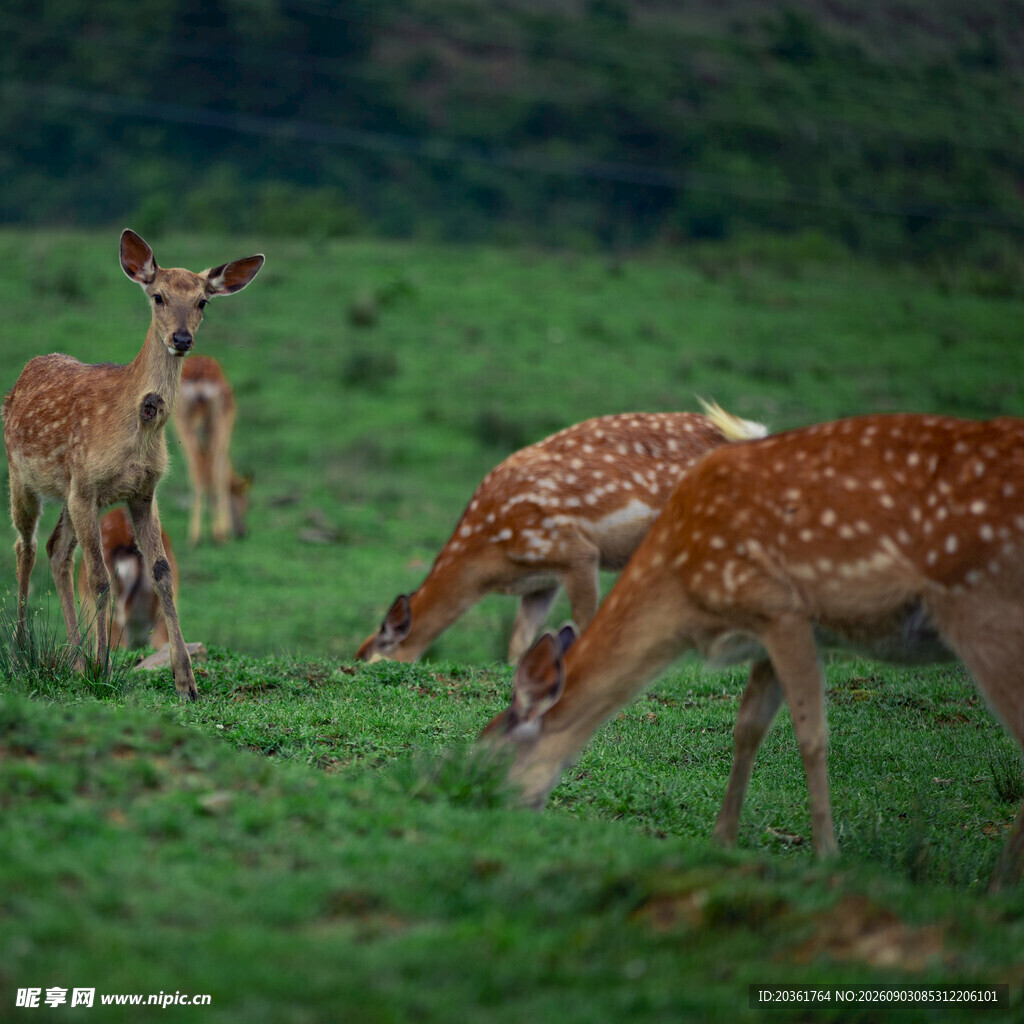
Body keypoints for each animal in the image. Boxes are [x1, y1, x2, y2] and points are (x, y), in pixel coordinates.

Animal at [173, 354, 251, 545]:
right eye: (246, 501)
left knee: (197, 469)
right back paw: (220, 534)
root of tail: (199, 383)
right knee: (214, 468)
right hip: (218, 420)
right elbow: (220, 472)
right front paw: (225, 529)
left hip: (183, 419)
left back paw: (195, 536)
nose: (243, 531)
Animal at [356, 403, 767, 665]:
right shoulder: (541, 581)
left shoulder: (575, 551)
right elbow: (518, 642)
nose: (361, 666)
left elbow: (583, 622)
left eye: (372, 659)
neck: (493, 554)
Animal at [482, 413, 1024, 890]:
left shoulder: (783, 608)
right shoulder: (764, 625)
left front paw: (827, 855)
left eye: (484, 754)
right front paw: (722, 841)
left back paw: (997, 886)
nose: (479, 804)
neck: (689, 592)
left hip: (984, 608)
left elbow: (812, 735)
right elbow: (747, 728)